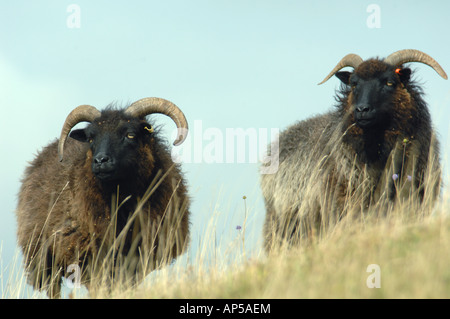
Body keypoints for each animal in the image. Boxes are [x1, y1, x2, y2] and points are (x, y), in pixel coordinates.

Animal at [15, 97, 191, 298]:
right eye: (91, 138)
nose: (100, 161)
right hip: (43, 259)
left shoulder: (139, 255)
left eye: (130, 135)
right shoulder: (91, 255)